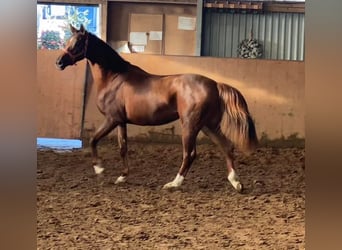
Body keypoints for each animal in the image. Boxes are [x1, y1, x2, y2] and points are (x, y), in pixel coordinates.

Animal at [56, 24, 258, 192]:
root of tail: (215, 84)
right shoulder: (121, 121)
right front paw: (122, 177)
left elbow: (93, 140)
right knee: (226, 146)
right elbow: (123, 148)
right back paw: (236, 182)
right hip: (208, 126)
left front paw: (99, 169)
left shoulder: (111, 119)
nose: (58, 62)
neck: (114, 78)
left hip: (190, 125)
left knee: (190, 154)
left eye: (77, 42)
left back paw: (173, 184)